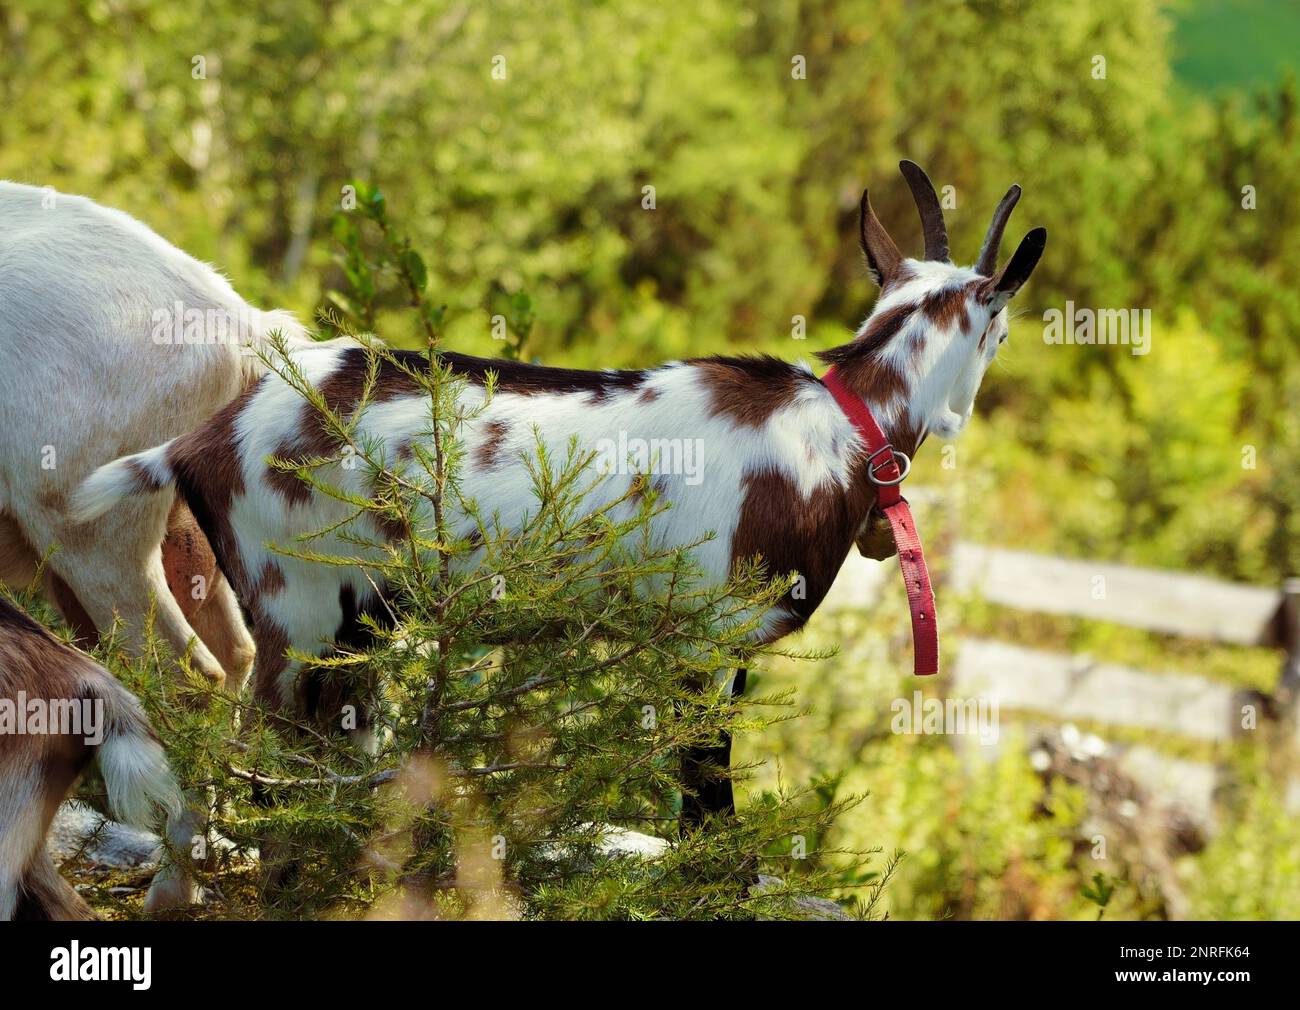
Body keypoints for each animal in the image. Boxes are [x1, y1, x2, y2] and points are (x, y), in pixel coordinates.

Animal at [73, 159, 1045, 811]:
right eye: (1000, 331)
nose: (961, 415)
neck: (840, 425)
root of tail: (204, 436)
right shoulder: (707, 638)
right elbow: (705, 798)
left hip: (357, 627)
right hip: (297, 611)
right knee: (262, 768)